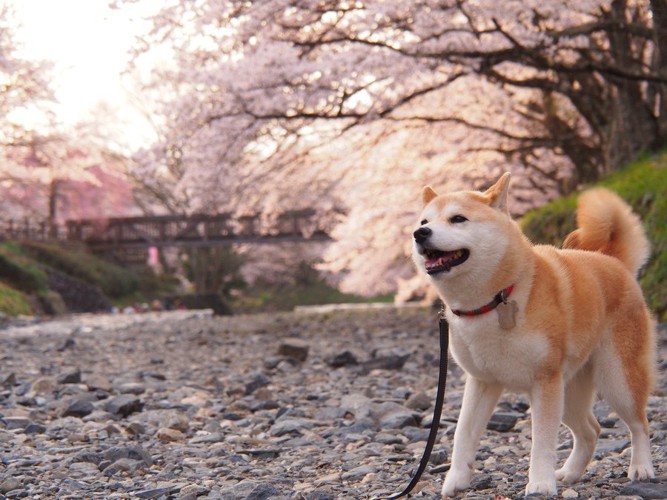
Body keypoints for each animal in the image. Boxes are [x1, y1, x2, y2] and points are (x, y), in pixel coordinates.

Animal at [412, 173, 656, 496]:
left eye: (458, 219)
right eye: (424, 220)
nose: (420, 233)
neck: (495, 299)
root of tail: (613, 261)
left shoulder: (545, 381)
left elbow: (541, 441)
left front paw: (540, 483)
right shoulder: (482, 382)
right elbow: (463, 433)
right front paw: (456, 479)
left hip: (616, 380)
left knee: (640, 424)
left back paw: (641, 467)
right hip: (569, 392)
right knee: (591, 431)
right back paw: (569, 473)